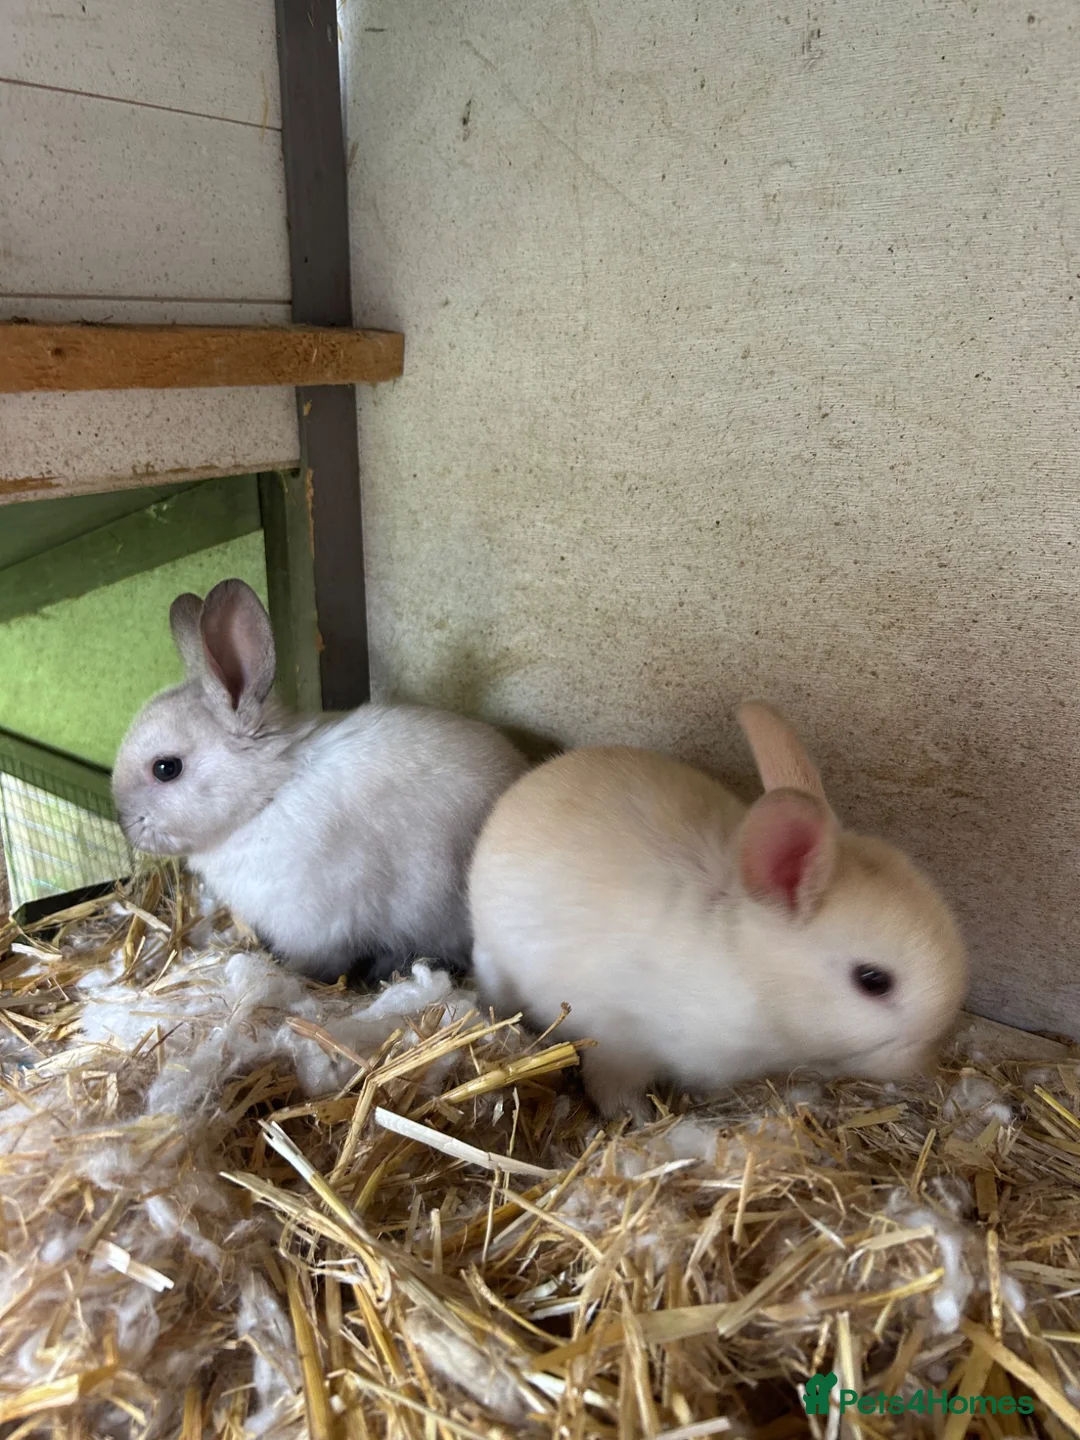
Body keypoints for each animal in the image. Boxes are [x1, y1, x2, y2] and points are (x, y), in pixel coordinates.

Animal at [468, 701, 970, 1119]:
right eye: (873, 981)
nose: (923, 1061)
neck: (749, 976)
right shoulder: (619, 1042)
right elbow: (613, 1088)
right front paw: (638, 1120)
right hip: (495, 958)